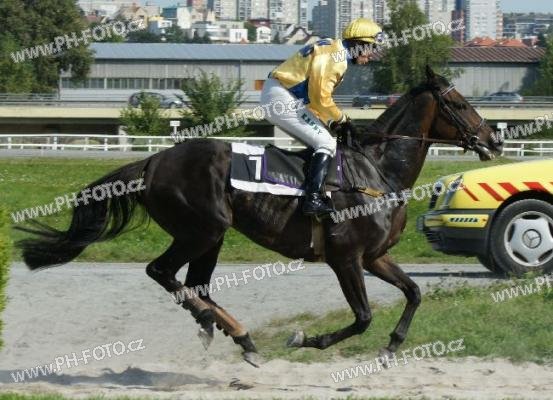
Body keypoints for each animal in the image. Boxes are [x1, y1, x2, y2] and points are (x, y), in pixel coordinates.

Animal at [17, 66, 503, 367]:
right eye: (461, 104)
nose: (495, 140)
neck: (376, 170)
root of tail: (153, 161)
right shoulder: (345, 258)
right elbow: (363, 316)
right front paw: (307, 339)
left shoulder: (374, 257)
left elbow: (414, 292)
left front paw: (391, 347)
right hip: (202, 229)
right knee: (162, 272)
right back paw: (223, 327)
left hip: (210, 236)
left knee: (196, 284)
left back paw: (233, 333)